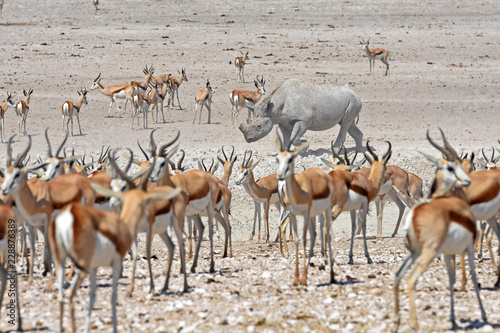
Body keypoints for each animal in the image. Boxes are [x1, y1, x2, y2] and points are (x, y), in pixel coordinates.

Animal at [48, 159, 181, 332]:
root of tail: (68, 215)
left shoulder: (95, 266)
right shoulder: (112, 262)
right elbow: (112, 296)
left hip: (63, 258)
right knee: (69, 294)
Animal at [276, 128, 334, 284]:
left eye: (291, 159)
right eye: (277, 158)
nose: (280, 174)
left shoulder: (306, 212)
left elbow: (304, 238)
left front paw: (303, 277)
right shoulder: (294, 213)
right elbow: (297, 240)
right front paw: (297, 278)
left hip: (324, 210)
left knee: (324, 232)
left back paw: (331, 274)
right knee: (313, 233)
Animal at [392, 129, 486, 330]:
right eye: (451, 167)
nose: (466, 180)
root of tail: (414, 216)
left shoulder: (447, 251)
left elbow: (451, 276)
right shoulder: (465, 246)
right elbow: (473, 275)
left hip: (415, 251)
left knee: (398, 275)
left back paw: (397, 322)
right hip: (428, 251)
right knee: (411, 278)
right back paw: (415, 324)